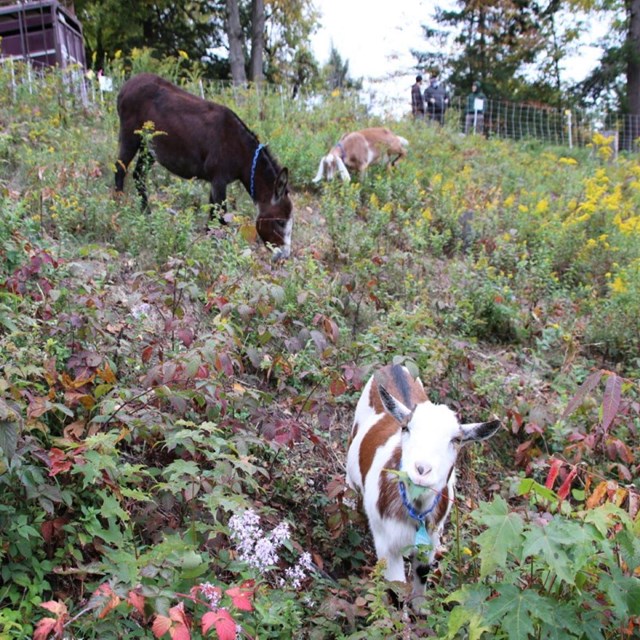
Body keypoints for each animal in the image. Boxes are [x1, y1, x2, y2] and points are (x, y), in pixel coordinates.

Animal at [344, 364, 500, 600]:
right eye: (406, 428)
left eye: (456, 440)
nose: (421, 469)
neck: (415, 511)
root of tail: (394, 366)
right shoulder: (387, 544)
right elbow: (396, 588)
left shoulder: (431, 542)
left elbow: (421, 580)